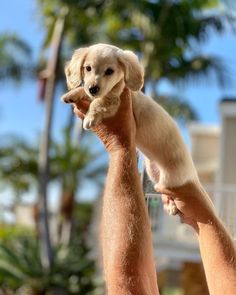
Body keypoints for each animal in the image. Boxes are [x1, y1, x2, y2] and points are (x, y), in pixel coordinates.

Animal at [61, 43, 199, 215]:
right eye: (88, 68)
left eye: (109, 71)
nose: (93, 88)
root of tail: (192, 172)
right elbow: (84, 92)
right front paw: (72, 94)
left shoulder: (113, 100)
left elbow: (99, 102)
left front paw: (90, 117)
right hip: (155, 175)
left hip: (171, 180)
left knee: (172, 193)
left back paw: (173, 206)